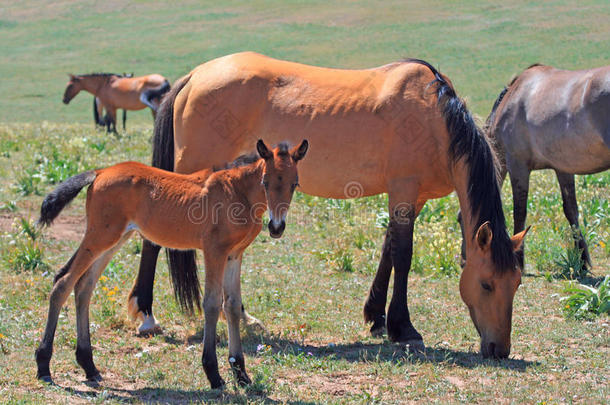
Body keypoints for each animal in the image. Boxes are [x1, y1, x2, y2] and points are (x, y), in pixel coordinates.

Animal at [35, 140, 306, 388]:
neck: (237, 192)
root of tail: (100, 172)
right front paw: (213, 374)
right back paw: (44, 365)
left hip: (114, 239)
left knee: (83, 288)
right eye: (265, 182)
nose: (276, 227)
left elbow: (232, 306)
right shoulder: (214, 251)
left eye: (294, 184)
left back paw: (89, 367)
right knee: (62, 283)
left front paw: (241, 373)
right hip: (101, 236)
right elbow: (211, 304)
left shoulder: (234, 255)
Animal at [129, 52, 528, 358]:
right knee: (152, 237)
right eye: (487, 284)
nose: (499, 349)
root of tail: (195, 75)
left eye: (517, 283)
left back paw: (242, 316)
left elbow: (388, 250)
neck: (434, 118)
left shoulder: (411, 198)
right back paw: (146, 314)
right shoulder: (403, 190)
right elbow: (403, 254)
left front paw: (376, 317)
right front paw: (403, 327)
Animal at [482, 64, 604, 268]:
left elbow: (519, 212)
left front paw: (518, 260)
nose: (463, 261)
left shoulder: (518, 166)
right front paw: (583, 259)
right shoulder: (563, 168)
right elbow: (571, 210)